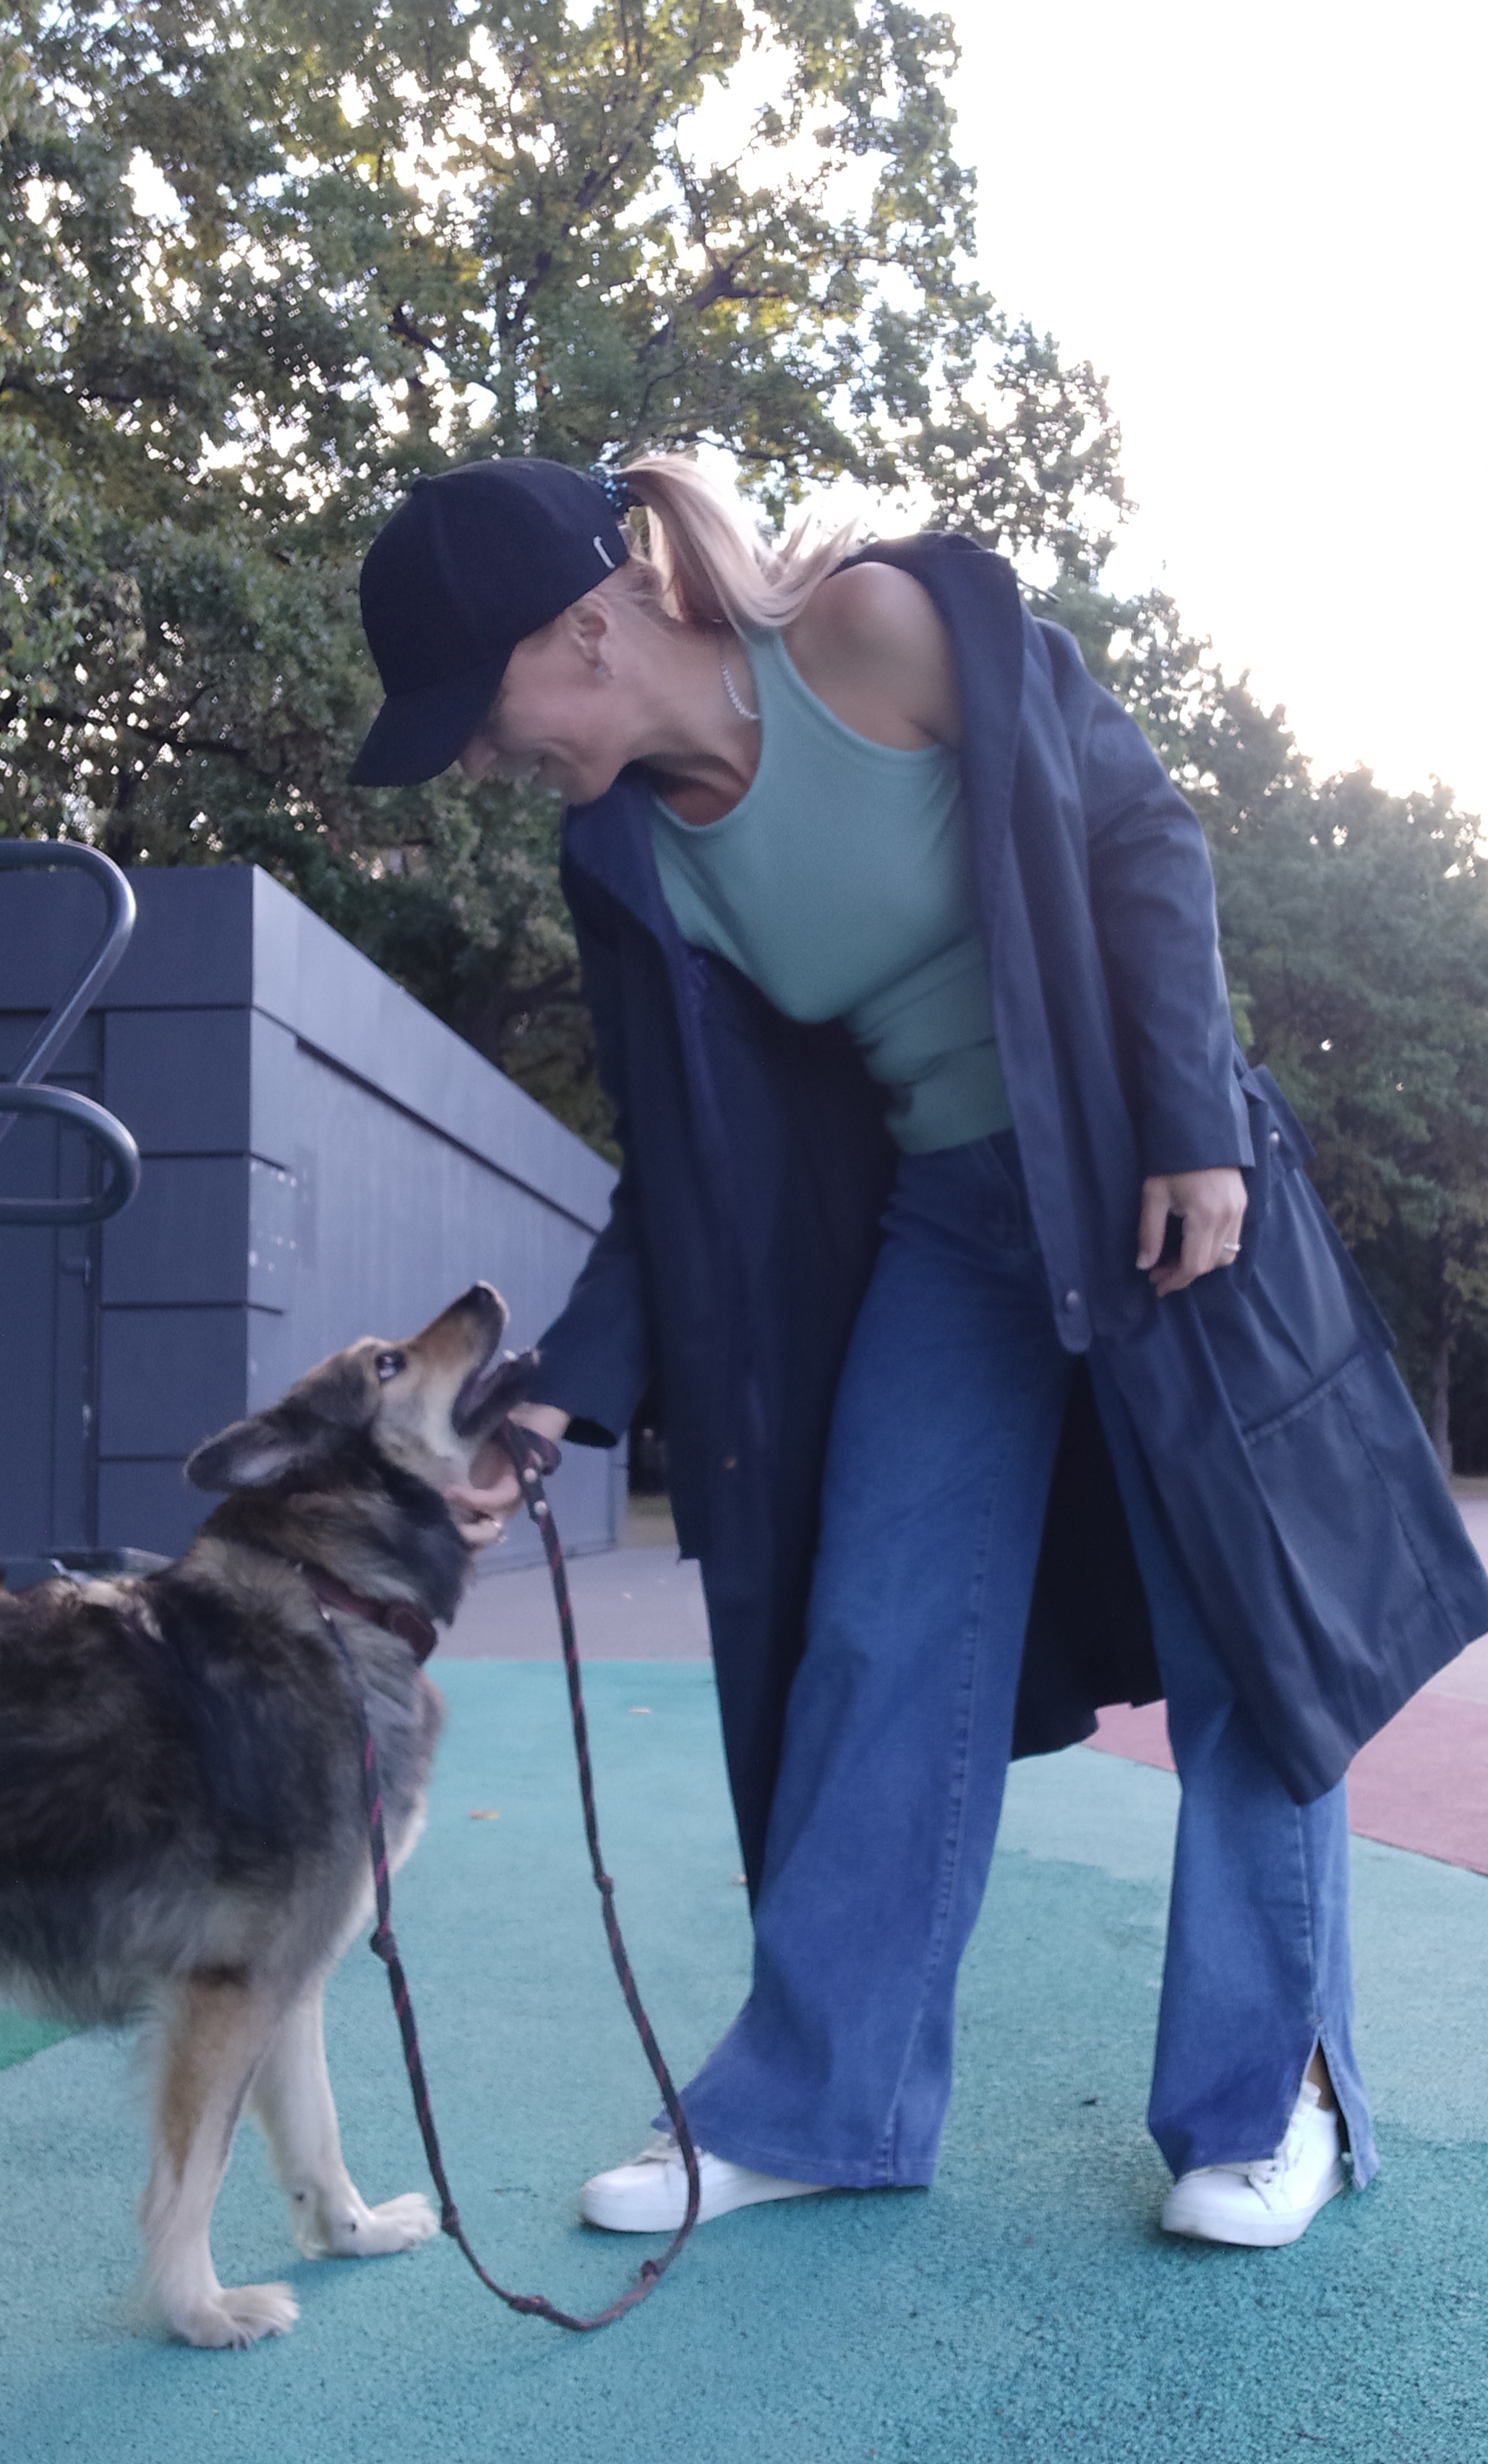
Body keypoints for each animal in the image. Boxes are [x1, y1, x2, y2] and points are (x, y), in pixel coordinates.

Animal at [0, 1281, 525, 2347]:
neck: (332, 1596)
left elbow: (314, 2131)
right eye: (386, 1365)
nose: (484, 1292)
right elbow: (191, 2175)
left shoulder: (293, 1975)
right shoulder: (230, 1987)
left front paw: (354, 2232)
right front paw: (200, 2311)